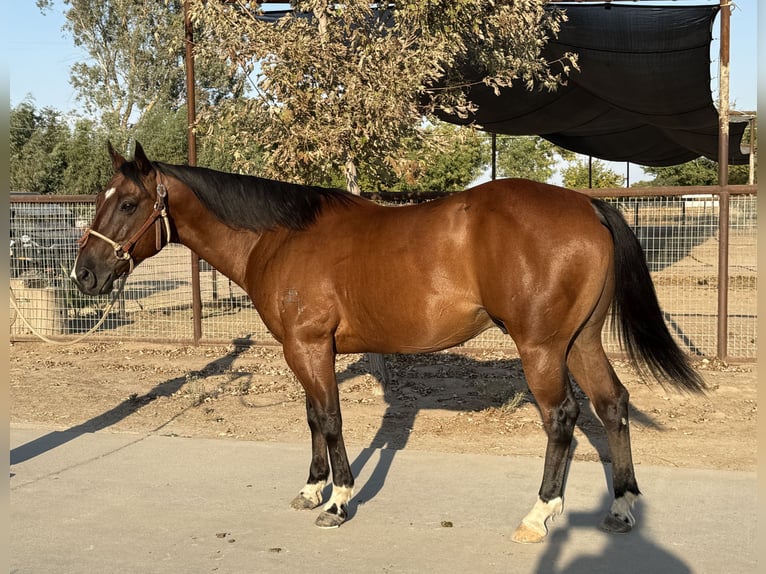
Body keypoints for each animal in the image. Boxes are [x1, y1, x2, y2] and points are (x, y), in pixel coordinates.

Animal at [71, 142, 705, 544]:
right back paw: (621, 507)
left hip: (544, 349)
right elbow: (312, 417)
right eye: (100, 199)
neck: (279, 237)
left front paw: (338, 501)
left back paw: (538, 516)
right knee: (613, 406)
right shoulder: (307, 351)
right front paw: (311, 489)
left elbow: (330, 419)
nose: (83, 276)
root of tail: (588, 204)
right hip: (582, 342)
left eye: (128, 203)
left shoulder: (309, 347)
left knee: (563, 419)